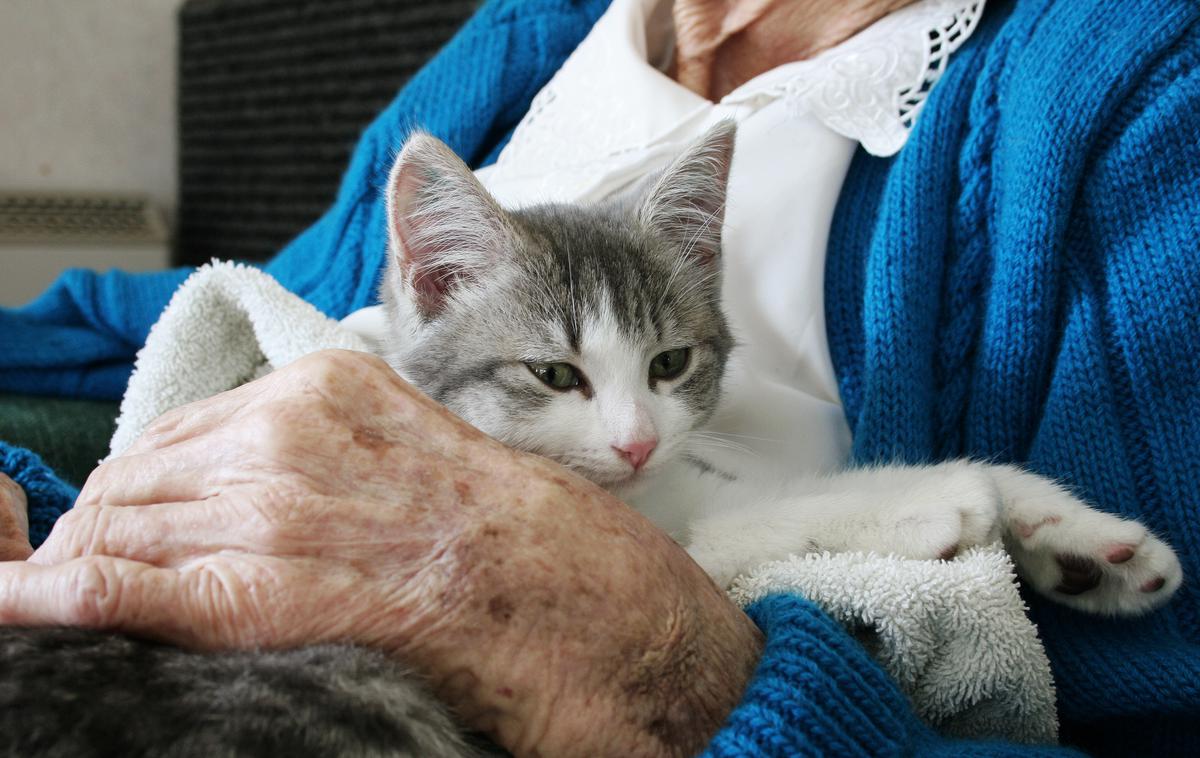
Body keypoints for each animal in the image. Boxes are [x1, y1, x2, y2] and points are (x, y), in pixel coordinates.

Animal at [0, 125, 1180, 758]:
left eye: (669, 363)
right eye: (554, 374)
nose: (636, 443)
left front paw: (1084, 541)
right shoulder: (645, 531)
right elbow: (758, 525)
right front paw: (936, 500)